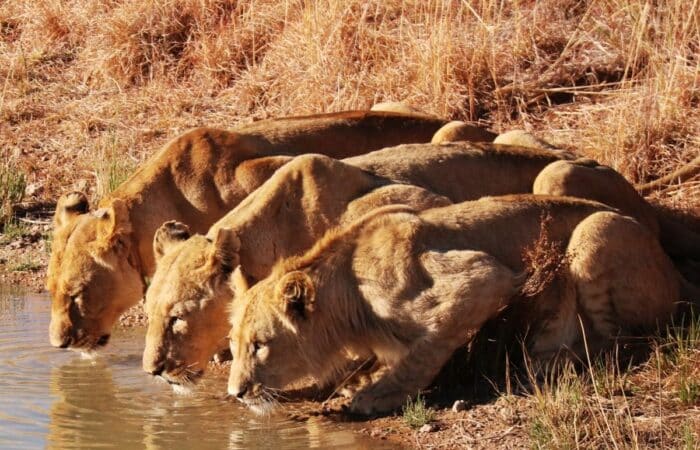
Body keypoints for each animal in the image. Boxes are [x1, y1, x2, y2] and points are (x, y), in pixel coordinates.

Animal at [226, 195, 681, 415]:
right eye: (233, 345)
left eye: (260, 346)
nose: (234, 393)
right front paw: (360, 378)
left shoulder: (482, 277)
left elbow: (421, 353)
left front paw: (374, 395)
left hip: (593, 233)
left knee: (621, 339)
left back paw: (550, 358)